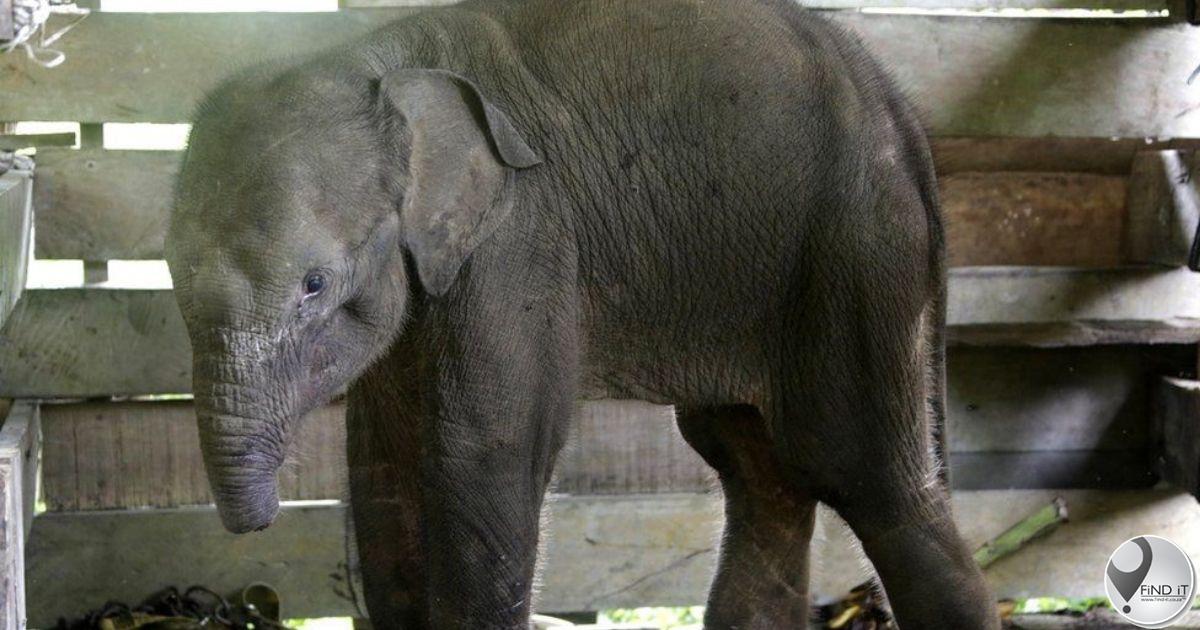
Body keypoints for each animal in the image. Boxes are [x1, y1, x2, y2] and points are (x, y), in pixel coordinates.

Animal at [165, 0, 999, 627]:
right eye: (171, 270)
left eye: (314, 283)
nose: (261, 534)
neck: (377, 61)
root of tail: (900, 110)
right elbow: (382, 463)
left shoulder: (523, 234)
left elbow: (481, 451)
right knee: (758, 471)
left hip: (859, 251)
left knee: (865, 473)